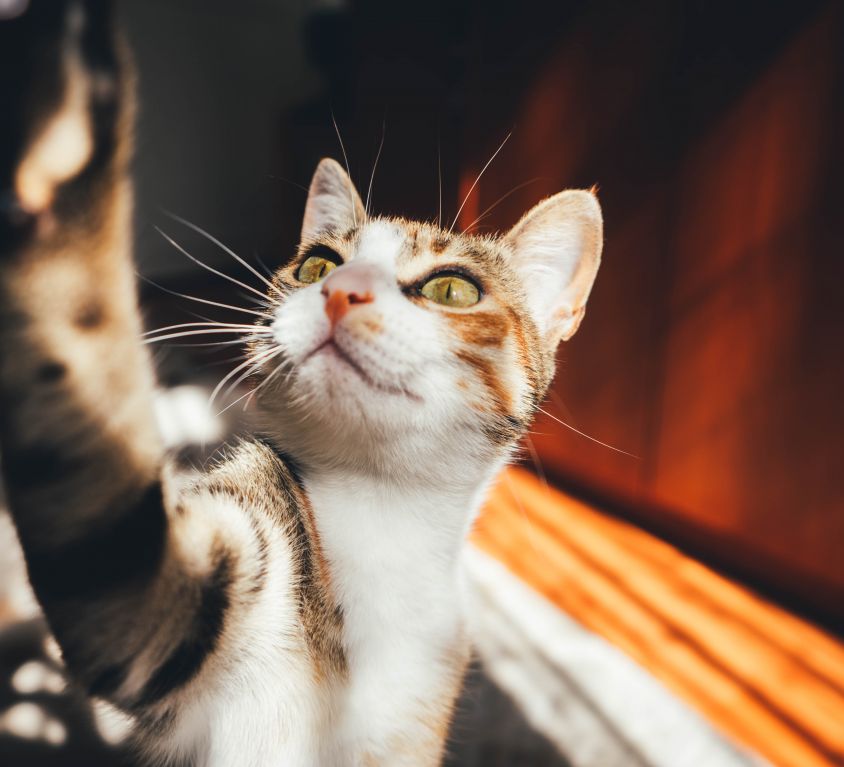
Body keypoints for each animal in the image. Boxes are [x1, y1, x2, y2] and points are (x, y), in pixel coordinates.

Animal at [0, 1, 604, 767]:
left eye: (453, 288)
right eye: (318, 264)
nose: (341, 291)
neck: (380, 516)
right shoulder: (178, 599)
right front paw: (66, 137)